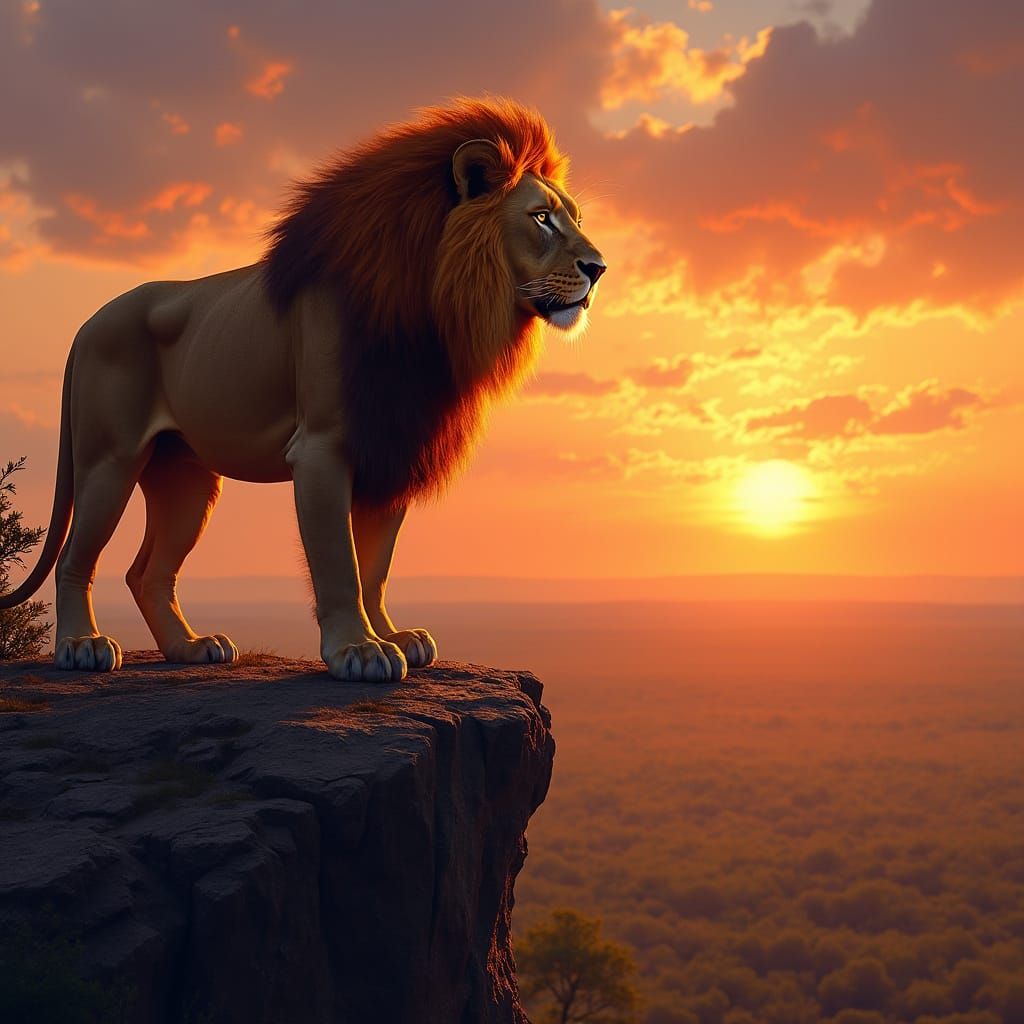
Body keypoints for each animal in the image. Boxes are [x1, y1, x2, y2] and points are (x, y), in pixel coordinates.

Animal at [0, 97, 606, 682]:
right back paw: (81, 646)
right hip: (110, 460)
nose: (598, 268)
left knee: (147, 572)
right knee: (75, 560)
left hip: (187, 478)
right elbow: (341, 561)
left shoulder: (393, 443)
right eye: (542, 218)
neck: (433, 309)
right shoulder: (322, 447)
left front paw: (392, 634)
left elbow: (375, 565)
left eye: (574, 218)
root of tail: (86, 324)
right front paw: (359, 651)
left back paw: (190, 647)